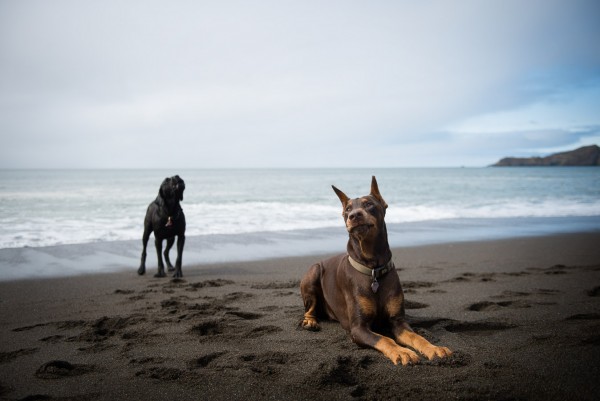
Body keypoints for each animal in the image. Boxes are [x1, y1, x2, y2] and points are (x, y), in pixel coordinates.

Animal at [300, 177, 450, 364]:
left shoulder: (397, 321)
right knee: (309, 309)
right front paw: (403, 352)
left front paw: (434, 349)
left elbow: (416, 337)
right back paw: (310, 322)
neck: (372, 268)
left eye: (369, 204)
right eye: (348, 209)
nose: (354, 215)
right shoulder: (358, 328)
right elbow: (385, 339)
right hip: (313, 272)